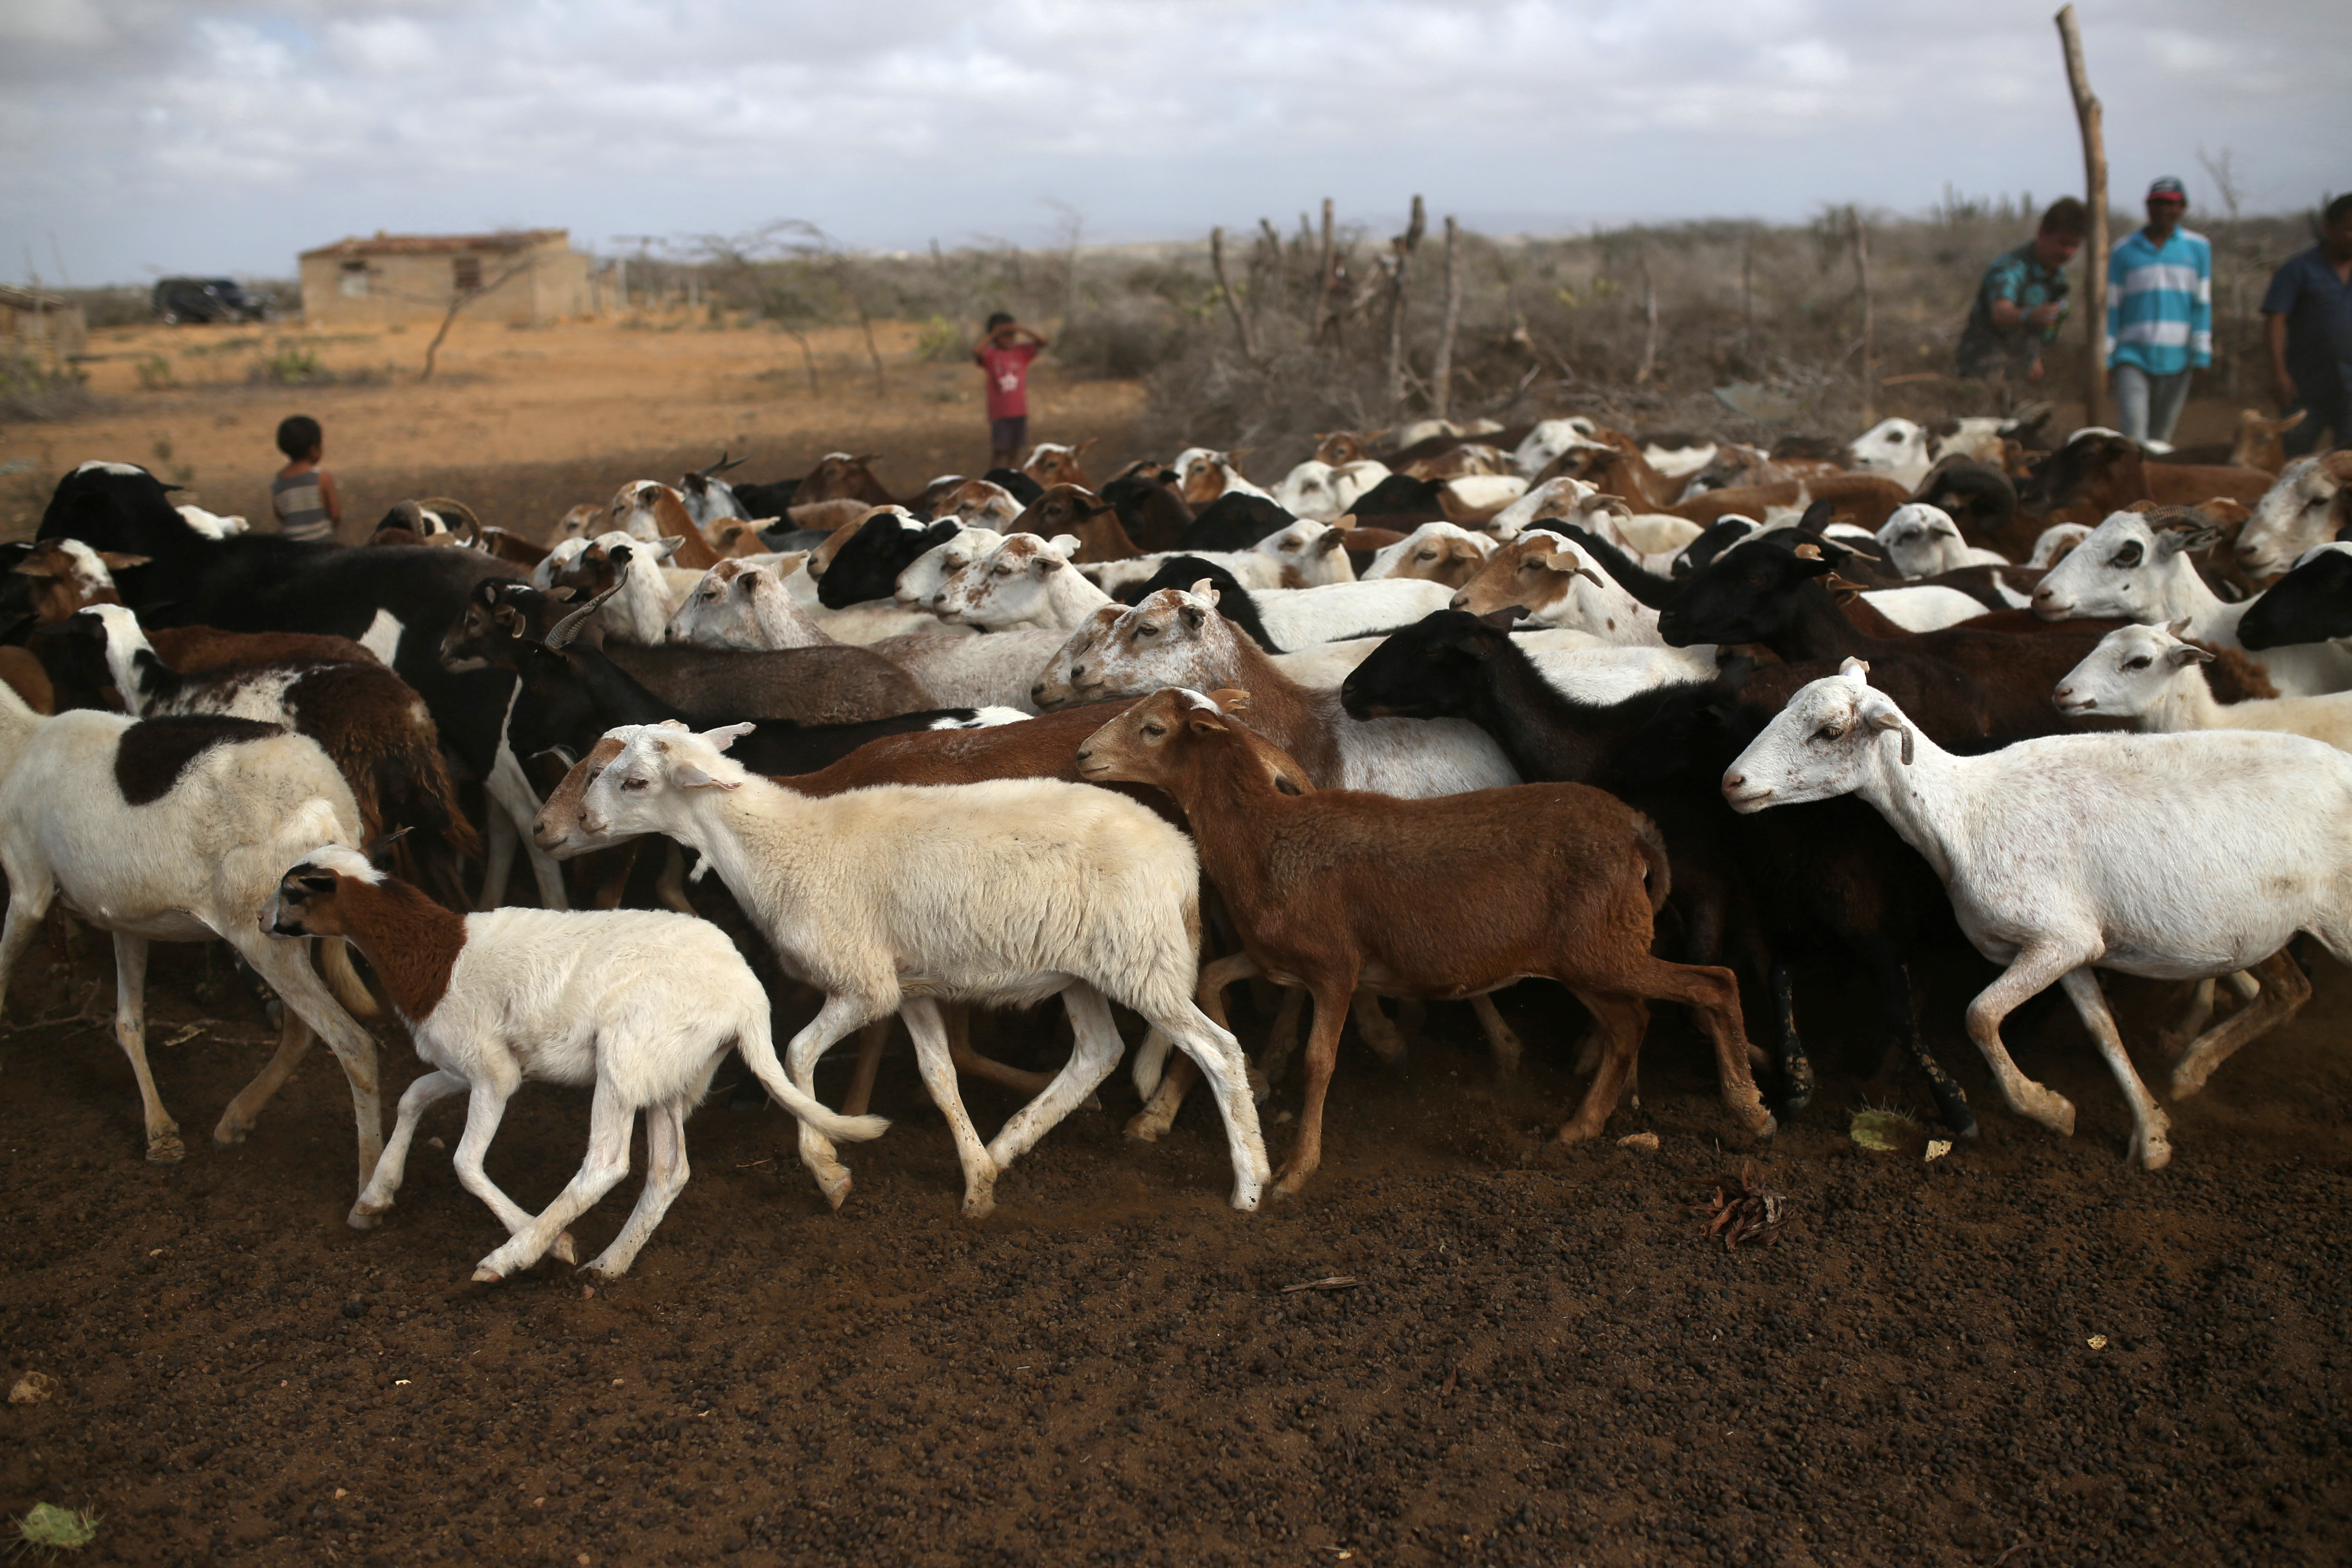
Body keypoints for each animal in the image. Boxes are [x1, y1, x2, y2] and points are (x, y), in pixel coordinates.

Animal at [255, 851, 884, 1279]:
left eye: (292, 893)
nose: (261, 922)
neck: (435, 955)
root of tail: (748, 999)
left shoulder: (493, 1074)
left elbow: (465, 1163)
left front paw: (544, 1244)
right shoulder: (462, 1065)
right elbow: (411, 1096)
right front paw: (374, 1198)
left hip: (626, 1058)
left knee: (606, 1165)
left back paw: (517, 1254)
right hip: (667, 1070)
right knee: (668, 1171)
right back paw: (610, 1264)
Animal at [1068, 681, 1769, 1189]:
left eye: (1153, 729)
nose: (1082, 754)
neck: (1265, 836)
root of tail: (1637, 831)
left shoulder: (1336, 969)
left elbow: (1321, 1061)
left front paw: (1296, 1170)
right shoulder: (1279, 960)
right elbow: (1214, 983)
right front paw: (1238, 1085)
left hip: (1609, 949)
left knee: (1714, 984)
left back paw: (1749, 1108)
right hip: (1589, 957)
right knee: (1631, 1024)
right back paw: (1581, 1127)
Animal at [1712, 658, 2352, 1166]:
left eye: (1830, 731)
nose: (1732, 782)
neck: (1961, 812)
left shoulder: (2054, 939)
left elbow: (1979, 1016)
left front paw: (2047, 1108)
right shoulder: (2075, 944)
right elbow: (2102, 1030)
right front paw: (2151, 1134)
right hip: (2263, 925)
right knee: (2288, 991)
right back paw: (2193, 1070)